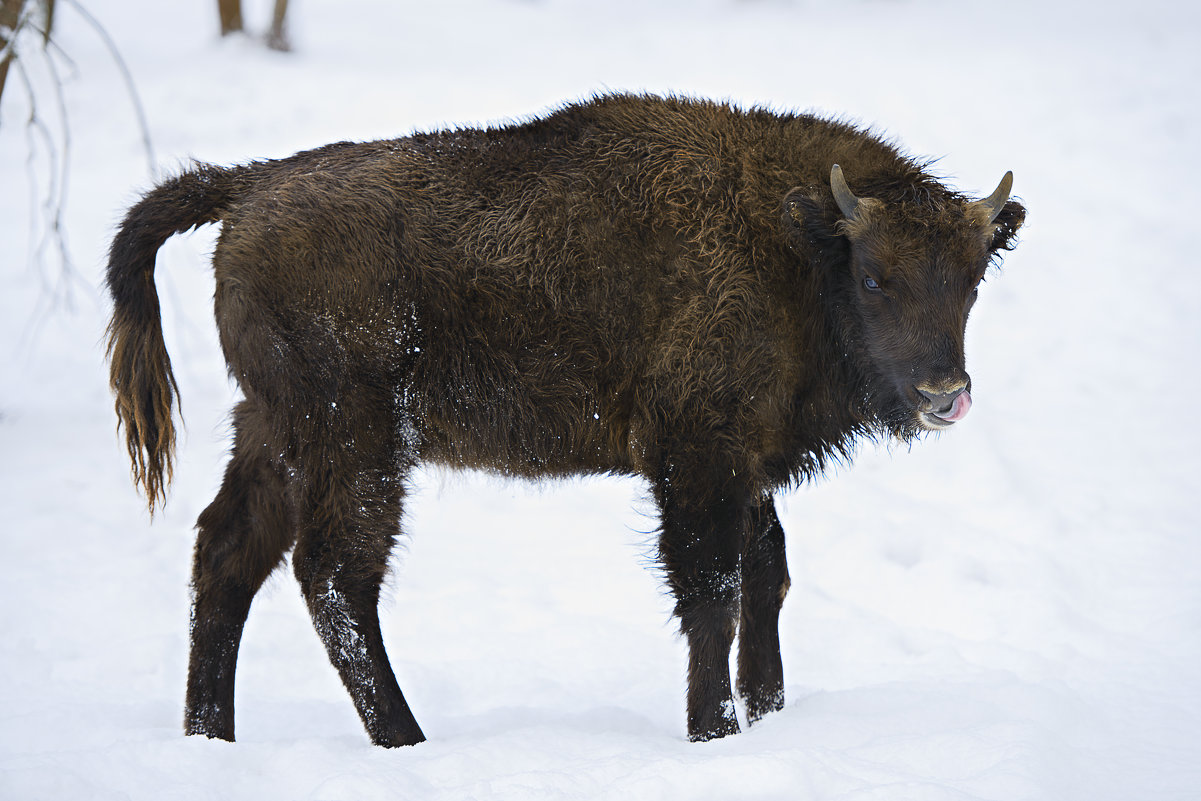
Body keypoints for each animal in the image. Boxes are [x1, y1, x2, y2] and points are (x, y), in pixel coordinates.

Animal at [105, 94, 1023, 744]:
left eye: (972, 278)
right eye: (874, 277)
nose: (943, 390)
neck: (794, 243)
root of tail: (247, 186)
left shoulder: (745, 461)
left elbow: (768, 574)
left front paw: (769, 713)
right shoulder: (697, 456)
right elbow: (714, 591)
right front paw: (715, 730)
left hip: (273, 430)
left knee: (228, 553)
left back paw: (209, 738)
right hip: (356, 442)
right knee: (333, 575)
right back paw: (405, 740)